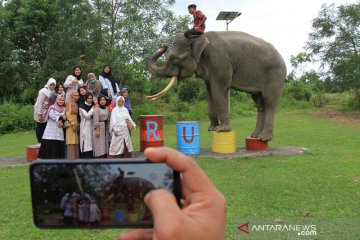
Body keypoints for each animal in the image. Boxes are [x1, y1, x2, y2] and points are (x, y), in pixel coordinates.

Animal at [148, 31, 286, 142]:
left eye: (175, 60)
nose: (164, 45)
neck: (199, 38)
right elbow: (210, 91)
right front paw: (212, 128)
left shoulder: (220, 62)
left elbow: (218, 89)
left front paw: (222, 130)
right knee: (259, 103)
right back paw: (254, 136)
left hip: (275, 75)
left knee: (269, 101)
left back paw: (264, 138)